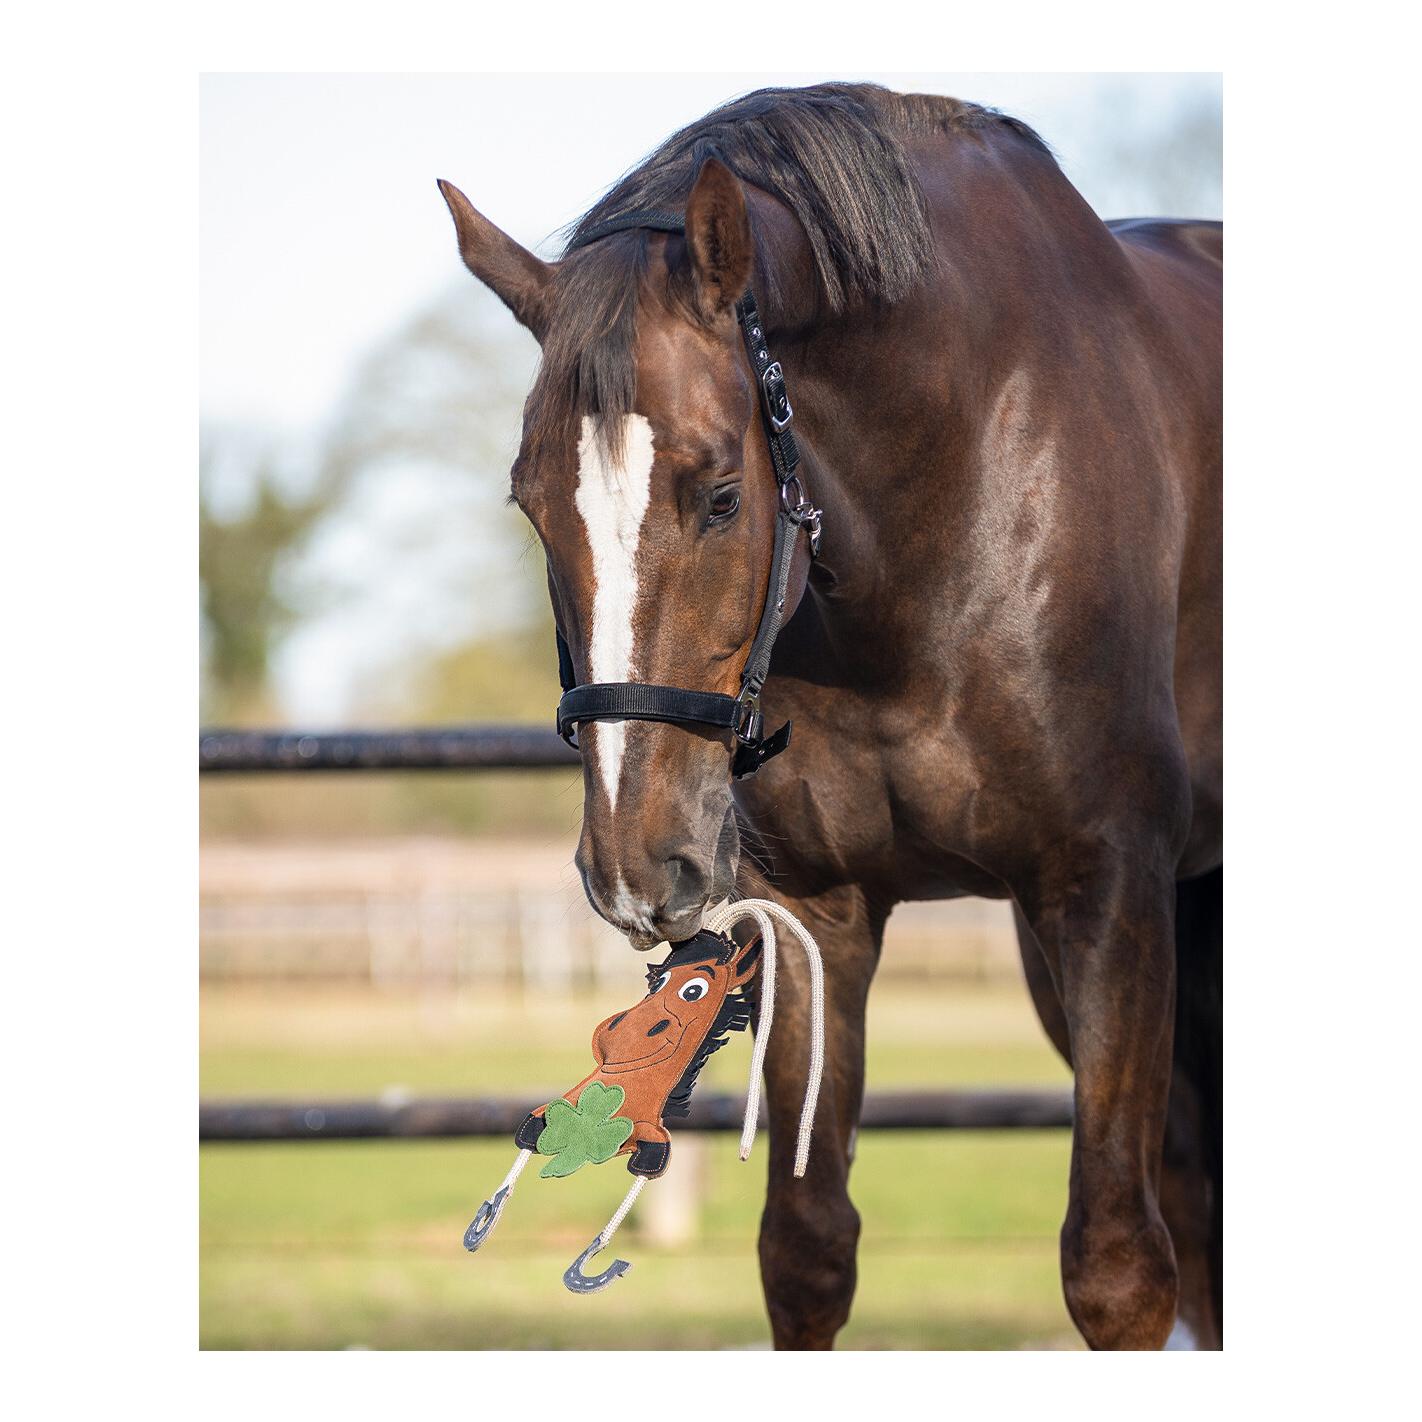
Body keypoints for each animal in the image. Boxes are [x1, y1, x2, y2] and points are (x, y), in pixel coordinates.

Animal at [438, 82, 1222, 1350]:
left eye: (718, 494)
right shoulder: (816, 914)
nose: (636, 871)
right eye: (531, 504)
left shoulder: (1106, 891)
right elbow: (806, 1250)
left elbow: (1117, 1270)